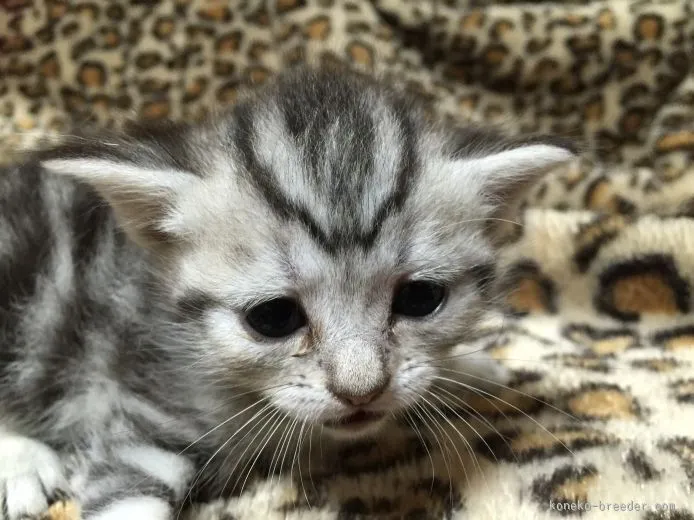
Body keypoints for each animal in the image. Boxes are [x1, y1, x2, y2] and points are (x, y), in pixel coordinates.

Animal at [0, 67, 576, 516]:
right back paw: (22, 464)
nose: (361, 391)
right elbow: (125, 490)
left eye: (419, 300)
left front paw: (463, 370)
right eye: (274, 318)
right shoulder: (143, 408)